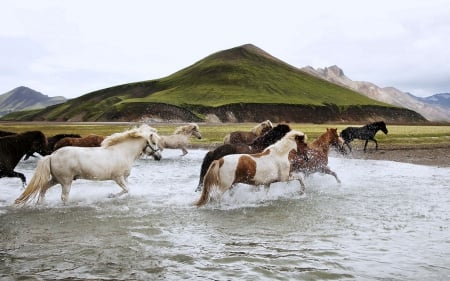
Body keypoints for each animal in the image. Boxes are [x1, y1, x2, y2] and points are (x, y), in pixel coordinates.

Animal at [15, 123, 162, 205]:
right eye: (154, 142)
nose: (159, 157)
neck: (123, 151)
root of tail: (52, 155)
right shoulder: (118, 177)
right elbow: (126, 189)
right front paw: (110, 195)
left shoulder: (124, 178)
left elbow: (128, 190)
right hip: (66, 181)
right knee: (63, 197)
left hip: (57, 179)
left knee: (44, 187)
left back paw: (41, 203)